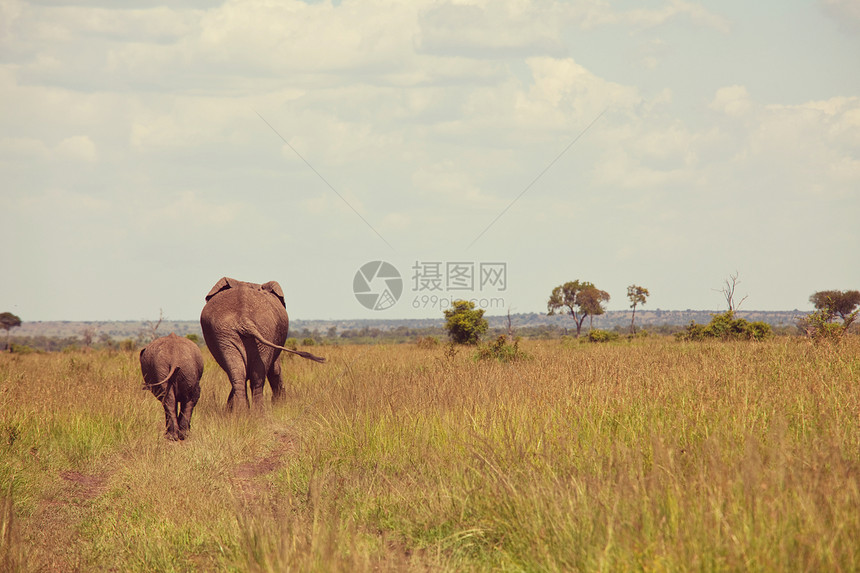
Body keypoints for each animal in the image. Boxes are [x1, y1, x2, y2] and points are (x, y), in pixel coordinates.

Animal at [200, 274, 324, 408]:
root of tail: (244, 319)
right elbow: (274, 369)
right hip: (237, 333)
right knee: (251, 377)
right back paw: (247, 412)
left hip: (245, 333)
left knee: (245, 375)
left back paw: (245, 412)